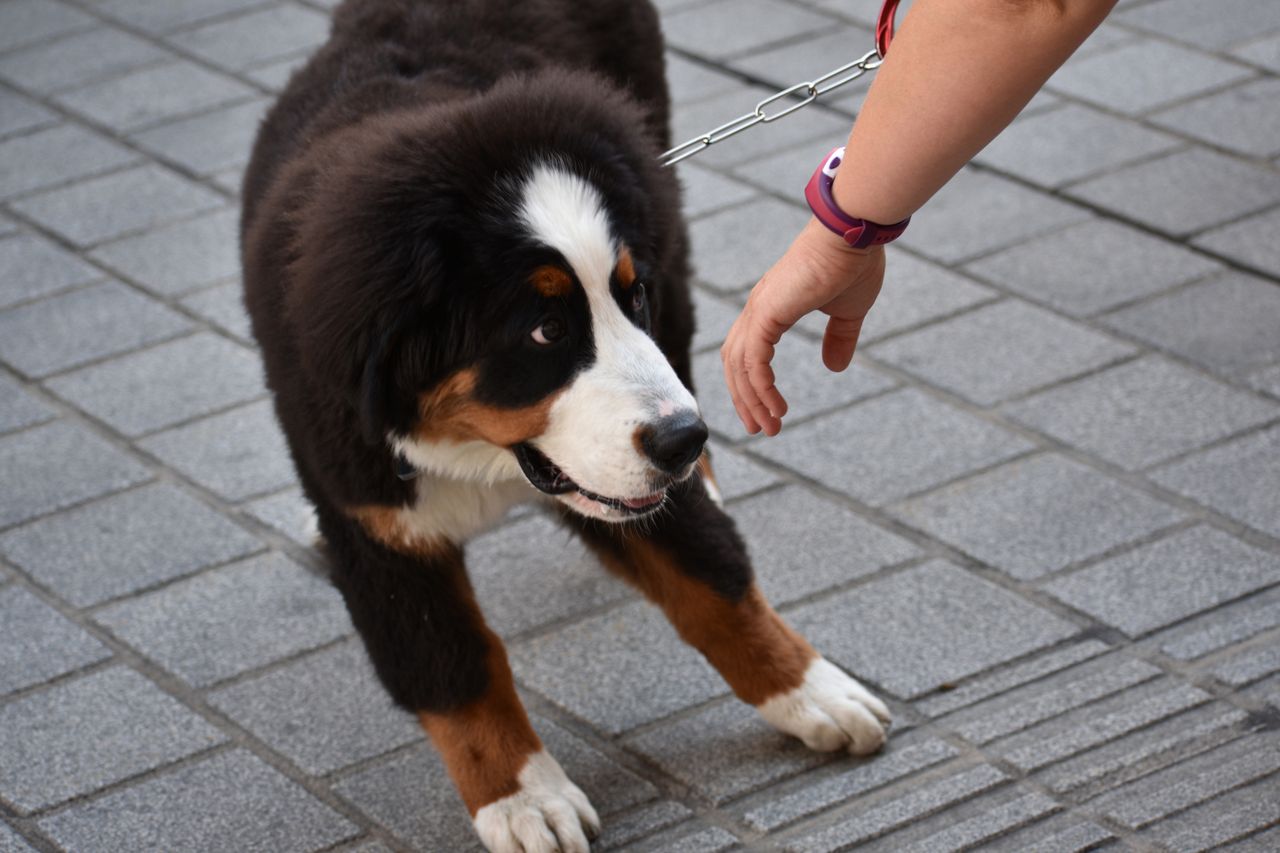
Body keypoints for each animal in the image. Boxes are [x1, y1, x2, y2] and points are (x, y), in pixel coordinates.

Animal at [241, 1, 890, 850]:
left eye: (629, 295)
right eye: (546, 330)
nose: (686, 439)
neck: (481, 453)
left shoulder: (633, 469)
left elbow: (715, 583)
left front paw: (813, 689)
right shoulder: (379, 527)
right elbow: (455, 669)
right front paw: (524, 797)